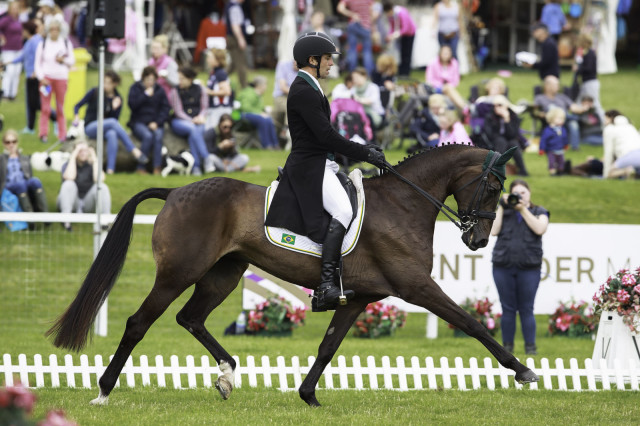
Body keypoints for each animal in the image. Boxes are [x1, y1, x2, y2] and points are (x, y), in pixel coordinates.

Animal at [45, 146, 536, 406]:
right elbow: (471, 323)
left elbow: (328, 346)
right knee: (139, 323)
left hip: (223, 274)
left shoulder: (359, 297)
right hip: (177, 273)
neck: (403, 204)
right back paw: (104, 391)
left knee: (191, 319)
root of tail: (177, 190)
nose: (478, 241)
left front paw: (307, 394)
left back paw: (227, 374)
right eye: (494, 187)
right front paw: (523, 370)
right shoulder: (417, 287)